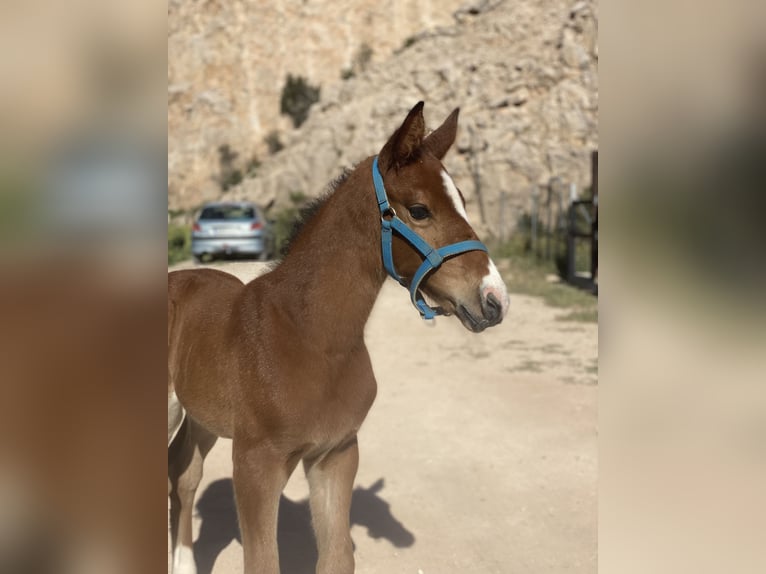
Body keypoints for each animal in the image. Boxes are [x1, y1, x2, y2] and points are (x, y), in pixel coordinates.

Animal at [168, 103, 510, 574]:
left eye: (461, 199)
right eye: (419, 210)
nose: (495, 299)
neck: (311, 337)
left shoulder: (337, 453)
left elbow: (336, 556)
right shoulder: (255, 463)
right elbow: (263, 560)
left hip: (202, 416)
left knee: (185, 475)